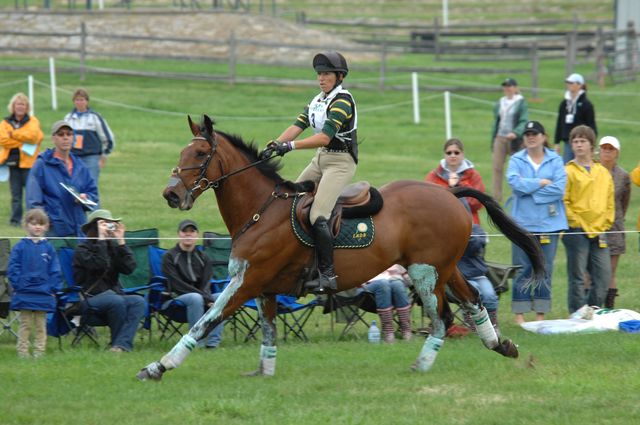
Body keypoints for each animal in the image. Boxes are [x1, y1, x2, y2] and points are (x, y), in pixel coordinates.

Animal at [135, 114, 544, 380]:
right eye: (183, 153)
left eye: (200, 155)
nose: (171, 194)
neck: (260, 210)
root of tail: (449, 192)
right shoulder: (264, 290)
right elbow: (267, 332)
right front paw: (264, 371)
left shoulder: (247, 284)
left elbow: (205, 321)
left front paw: (158, 367)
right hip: (443, 267)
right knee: (473, 299)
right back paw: (502, 345)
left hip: (425, 273)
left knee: (442, 318)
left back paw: (422, 366)